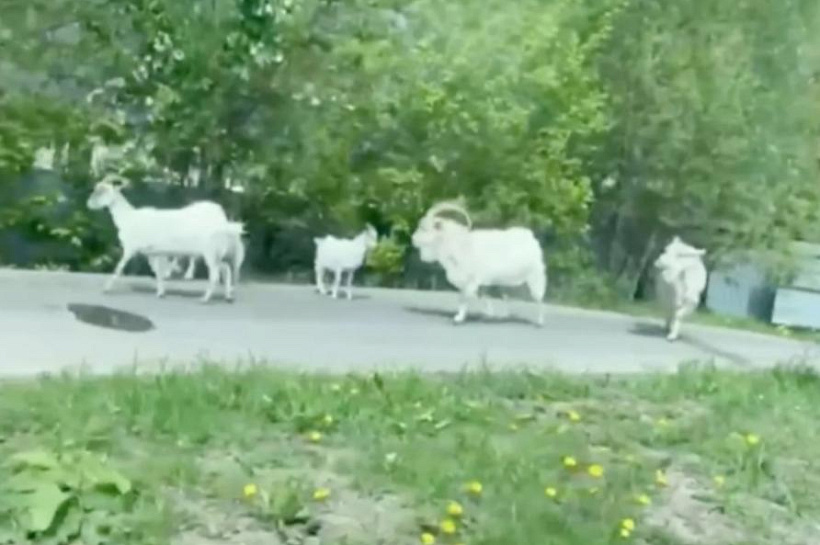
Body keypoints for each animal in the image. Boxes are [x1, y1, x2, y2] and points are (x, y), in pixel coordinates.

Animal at [86, 174, 236, 302]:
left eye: (103, 191)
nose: (89, 204)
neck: (128, 218)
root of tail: (223, 223)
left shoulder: (130, 249)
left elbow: (119, 268)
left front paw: (106, 289)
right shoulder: (153, 253)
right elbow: (157, 272)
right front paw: (161, 293)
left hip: (210, 253)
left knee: (215, 274)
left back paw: (204, 299)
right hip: (215, 255)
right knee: (226, 269)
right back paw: (228, 297)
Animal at [411, 201, 547, 325]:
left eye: (424, 228)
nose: (413, 239)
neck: (458, 243)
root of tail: (532, 239)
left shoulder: (471, 280)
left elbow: (465, 298)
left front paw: (458, 319)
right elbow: (474, 297)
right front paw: (487, 314)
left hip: (535, 276)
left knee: (539, 298)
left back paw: (539, 322)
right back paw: (504, 316)